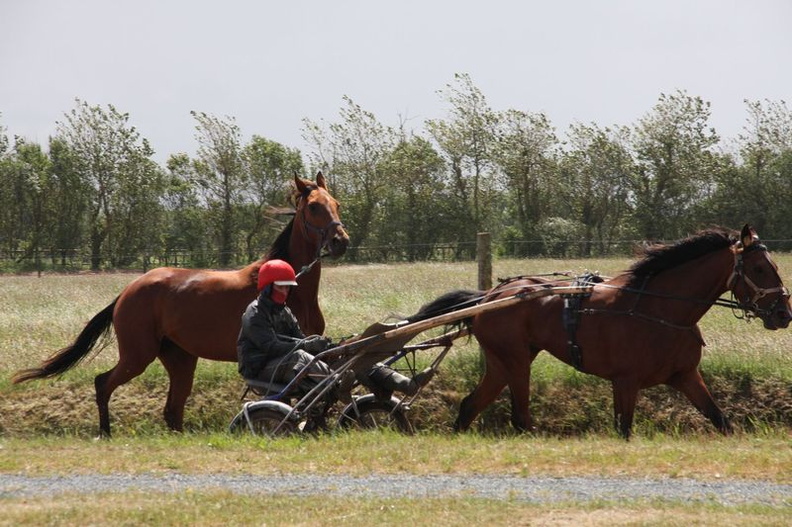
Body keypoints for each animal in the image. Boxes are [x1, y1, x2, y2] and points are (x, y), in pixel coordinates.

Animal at [13, 172, 350, 438]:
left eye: (336, 204)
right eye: (314, 207)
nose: (341, 241)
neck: (288, 287)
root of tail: (128, 291)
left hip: (180, 359)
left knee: (172, 410)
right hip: (138, 355)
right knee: (103, 384)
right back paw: (104, 433)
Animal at [412, 225, 788, 440]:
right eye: (759, 268)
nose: (784, 313)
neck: (658, 309)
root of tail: (490, 296)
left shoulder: (685, 376)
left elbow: (720, 420)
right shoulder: (625, 381)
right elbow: (624, 429)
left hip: (502, 361)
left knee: (470, 406)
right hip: (515, 361)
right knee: (519, 417)